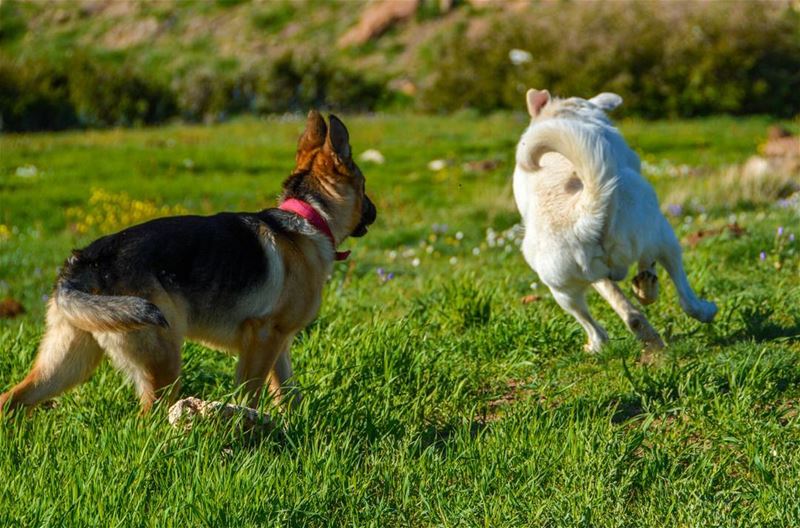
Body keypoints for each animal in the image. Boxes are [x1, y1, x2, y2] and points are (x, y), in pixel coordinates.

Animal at [0, 111, 376, 414]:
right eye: (364, 185)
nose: (373, 212)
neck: (309, 217)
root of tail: (84, 260)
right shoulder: (262, 339)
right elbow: (250, 395)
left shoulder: (278, 346)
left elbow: (288, 394)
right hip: (163, 361)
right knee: (146, 420)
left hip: (69, 362)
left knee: (12, 399)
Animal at [512, 88, 720, 352]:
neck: (561, 112)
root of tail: (581, 217)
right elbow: (647, 267)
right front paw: (646, 287)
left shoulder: (597, 277)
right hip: (663, 232)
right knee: (684, 295)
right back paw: (700, 308)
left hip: (562, 290)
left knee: (610, 320)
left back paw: (606, 342)